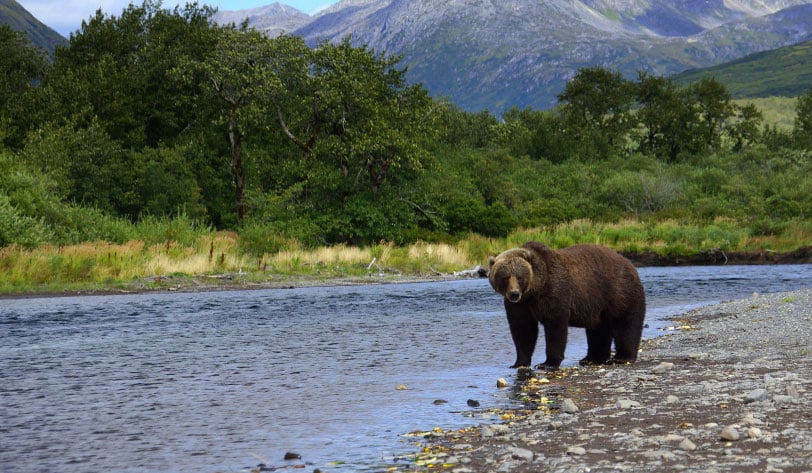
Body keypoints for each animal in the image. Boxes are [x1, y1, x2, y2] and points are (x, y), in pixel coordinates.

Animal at [488, 243, 648, 368]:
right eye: (505, 277)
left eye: (520, 277)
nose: (514, 294)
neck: (535, 290)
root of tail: (631, 264)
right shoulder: (520, 305)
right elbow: (523, 328)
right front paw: (519, 362)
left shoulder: (555, 291)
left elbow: (555, 326)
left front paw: (547, 363)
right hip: (598, 304)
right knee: (598, 329)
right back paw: (591, 359)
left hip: (619, 292)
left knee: (625, 324)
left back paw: (622, 357)